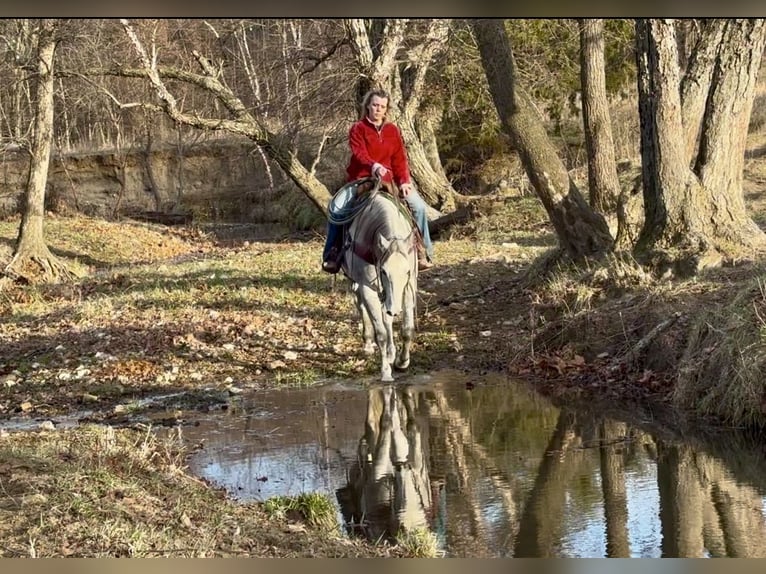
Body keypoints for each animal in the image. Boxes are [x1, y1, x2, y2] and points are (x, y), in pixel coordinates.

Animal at [342, 187, 420, 382]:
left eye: (406, 271)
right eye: (383, 271)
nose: (396, 309)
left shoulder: (409, 286)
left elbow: (406, 328)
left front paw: (402, 362)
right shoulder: (367, 287)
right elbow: (381, 334)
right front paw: (385, 371)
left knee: (387, 316)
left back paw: (392, 352)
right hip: (356, 282)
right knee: (362, 307)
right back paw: (368, 343)